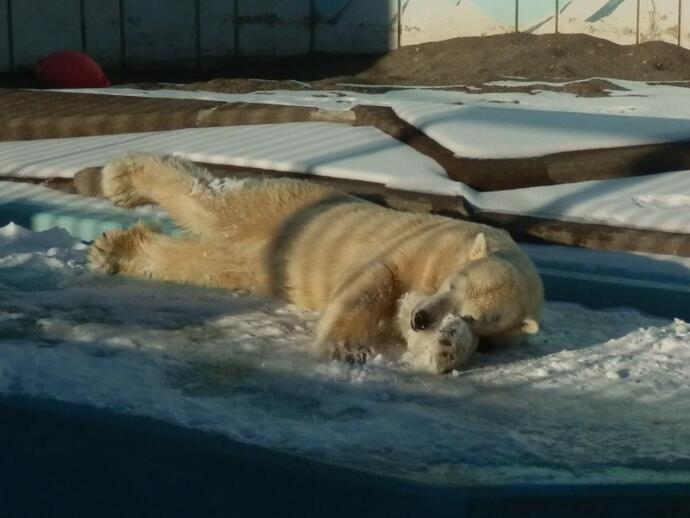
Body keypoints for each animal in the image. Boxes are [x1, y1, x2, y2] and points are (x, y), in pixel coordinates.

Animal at [88, 154, 544, 374]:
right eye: (452, 284)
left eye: (472, 315)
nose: (424, 321)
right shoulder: (426, 247)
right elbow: (378, 281)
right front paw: (340, 348)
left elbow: (405, 314)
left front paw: (446, 345)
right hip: (289, 205)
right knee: (214, 203)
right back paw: (121, 178)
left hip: (257, 261)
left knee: (208, 261)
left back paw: (117, 250)